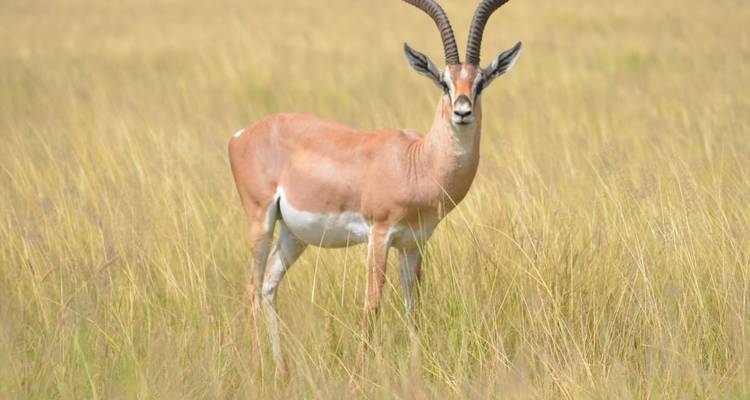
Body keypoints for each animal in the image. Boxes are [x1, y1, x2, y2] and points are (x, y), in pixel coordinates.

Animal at [229, 0, 521, 372]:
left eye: (481, 81)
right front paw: (358, 375)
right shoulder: (379, 235)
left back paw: (282, 371)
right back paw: (258, 369)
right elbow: (373, 304)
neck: (417, 163)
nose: (462, 111)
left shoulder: (413, 245)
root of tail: (242, 134)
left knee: (268, 285)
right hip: (260, 220)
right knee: (251, 286)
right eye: (444, 82)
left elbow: (413, 308)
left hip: (294, 235)